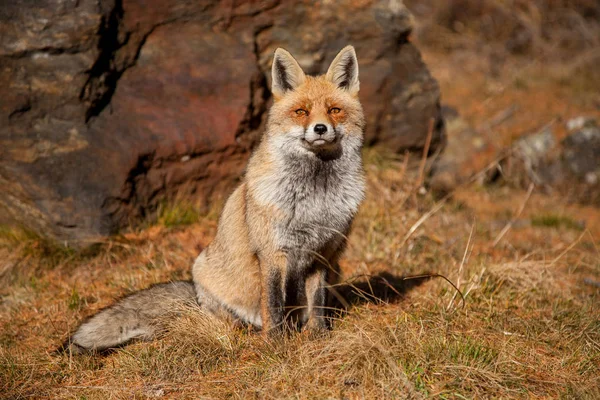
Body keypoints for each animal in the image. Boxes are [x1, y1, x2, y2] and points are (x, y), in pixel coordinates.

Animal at [65, 46, 366, 354]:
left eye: (334, 110)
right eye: (301, 112)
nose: (320, 128)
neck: (315, 198)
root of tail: (195, 295)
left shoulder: (323, 253)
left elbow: (317, 302)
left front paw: (319, 336)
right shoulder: (272, 253)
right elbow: (273, 304)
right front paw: (275, 343)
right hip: (207, 275)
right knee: (229, 320)